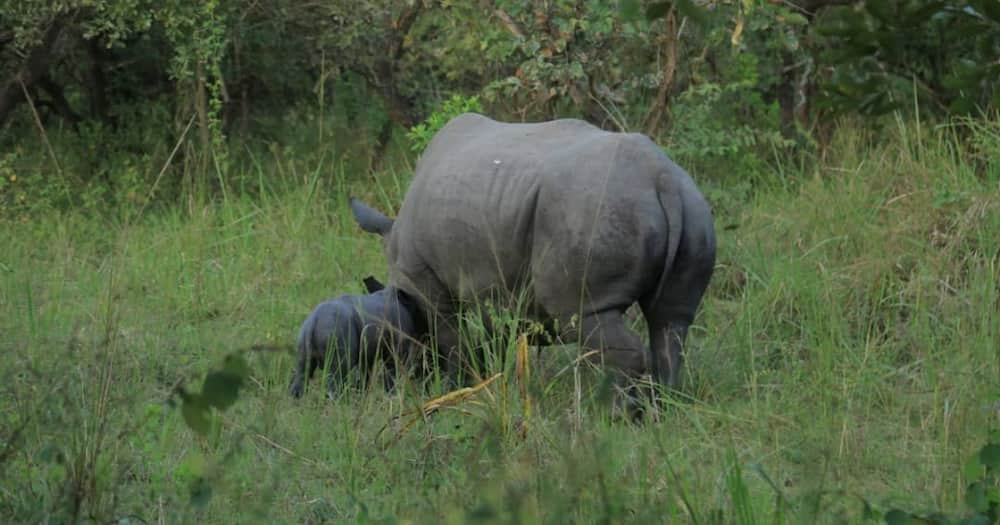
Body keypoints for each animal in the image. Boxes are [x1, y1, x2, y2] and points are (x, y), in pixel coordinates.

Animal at [288, 276, 420, 396]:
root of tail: (314, 321)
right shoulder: (397, 346)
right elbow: (392, 372)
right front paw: (392, 395)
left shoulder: (368, 351)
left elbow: (365, 372)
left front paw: (361, 394)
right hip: (336, 331)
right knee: (337, 377)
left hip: (304, 333)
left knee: (302, 372)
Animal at [348, 113, 716, 392]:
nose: (416, 377)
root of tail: (661, 178)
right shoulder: (492, 283)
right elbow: (491, 333)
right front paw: (489, 378)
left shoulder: (425, 280)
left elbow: (450, 336)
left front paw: (459, 385)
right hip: (692, 207)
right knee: (671, 322)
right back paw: (662, 407)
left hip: (594, 209)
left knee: (582, 315)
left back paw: (618, 416)